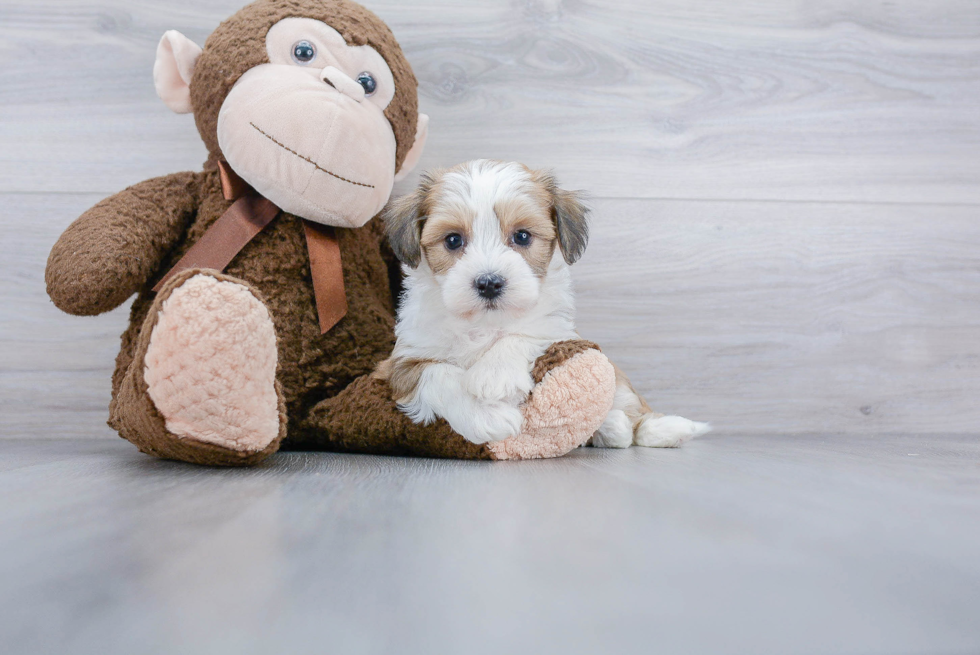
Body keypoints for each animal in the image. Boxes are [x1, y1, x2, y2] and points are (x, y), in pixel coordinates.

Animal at [378, 160, 708, 448]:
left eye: (522, 236)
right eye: (453, 240)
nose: (489, 282)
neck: (485, 323)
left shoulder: (560, 331)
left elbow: (525, 333)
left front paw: (495, 375)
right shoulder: (399, 363)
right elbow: (437, 375)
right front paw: (485, 414)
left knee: (632, 407)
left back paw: (650, 427)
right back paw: (612, 428)